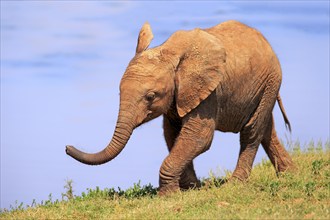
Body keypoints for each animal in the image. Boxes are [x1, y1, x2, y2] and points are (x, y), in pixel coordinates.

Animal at [65, 20, 296, 195]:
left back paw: (236, 184)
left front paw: (169, 196)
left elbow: (199, 137)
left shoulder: (209, 91)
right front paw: (192, 189)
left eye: (150, 97)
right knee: (266, 130)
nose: (66, 147)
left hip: (271, 81)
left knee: (251, 131)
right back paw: (290, 174)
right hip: (265, 86)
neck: (168, 52)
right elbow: (173, 134)